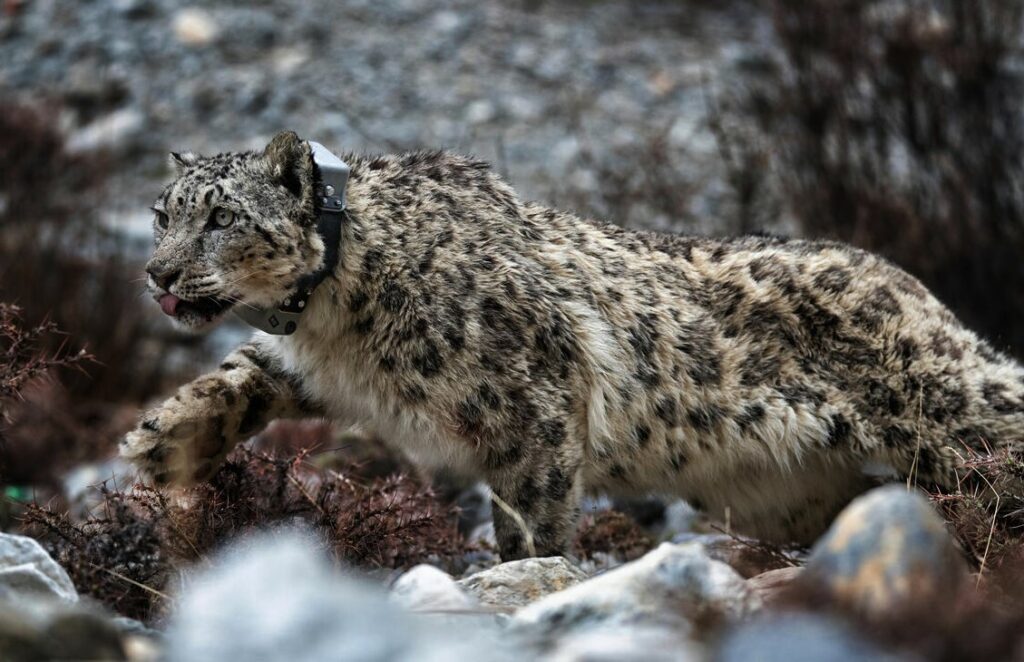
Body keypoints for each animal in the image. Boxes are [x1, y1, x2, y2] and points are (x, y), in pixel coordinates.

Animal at [123, 131, 1024, 561]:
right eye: (161, 213)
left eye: (221, 216)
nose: (157, 272)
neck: (331, 325)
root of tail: (915, 288)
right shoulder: (314, 366)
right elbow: (247, 369)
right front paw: (165, 440)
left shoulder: (534, 402)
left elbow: (535, 509)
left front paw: (529, 575)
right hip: (788, 497)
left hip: (956, 416)